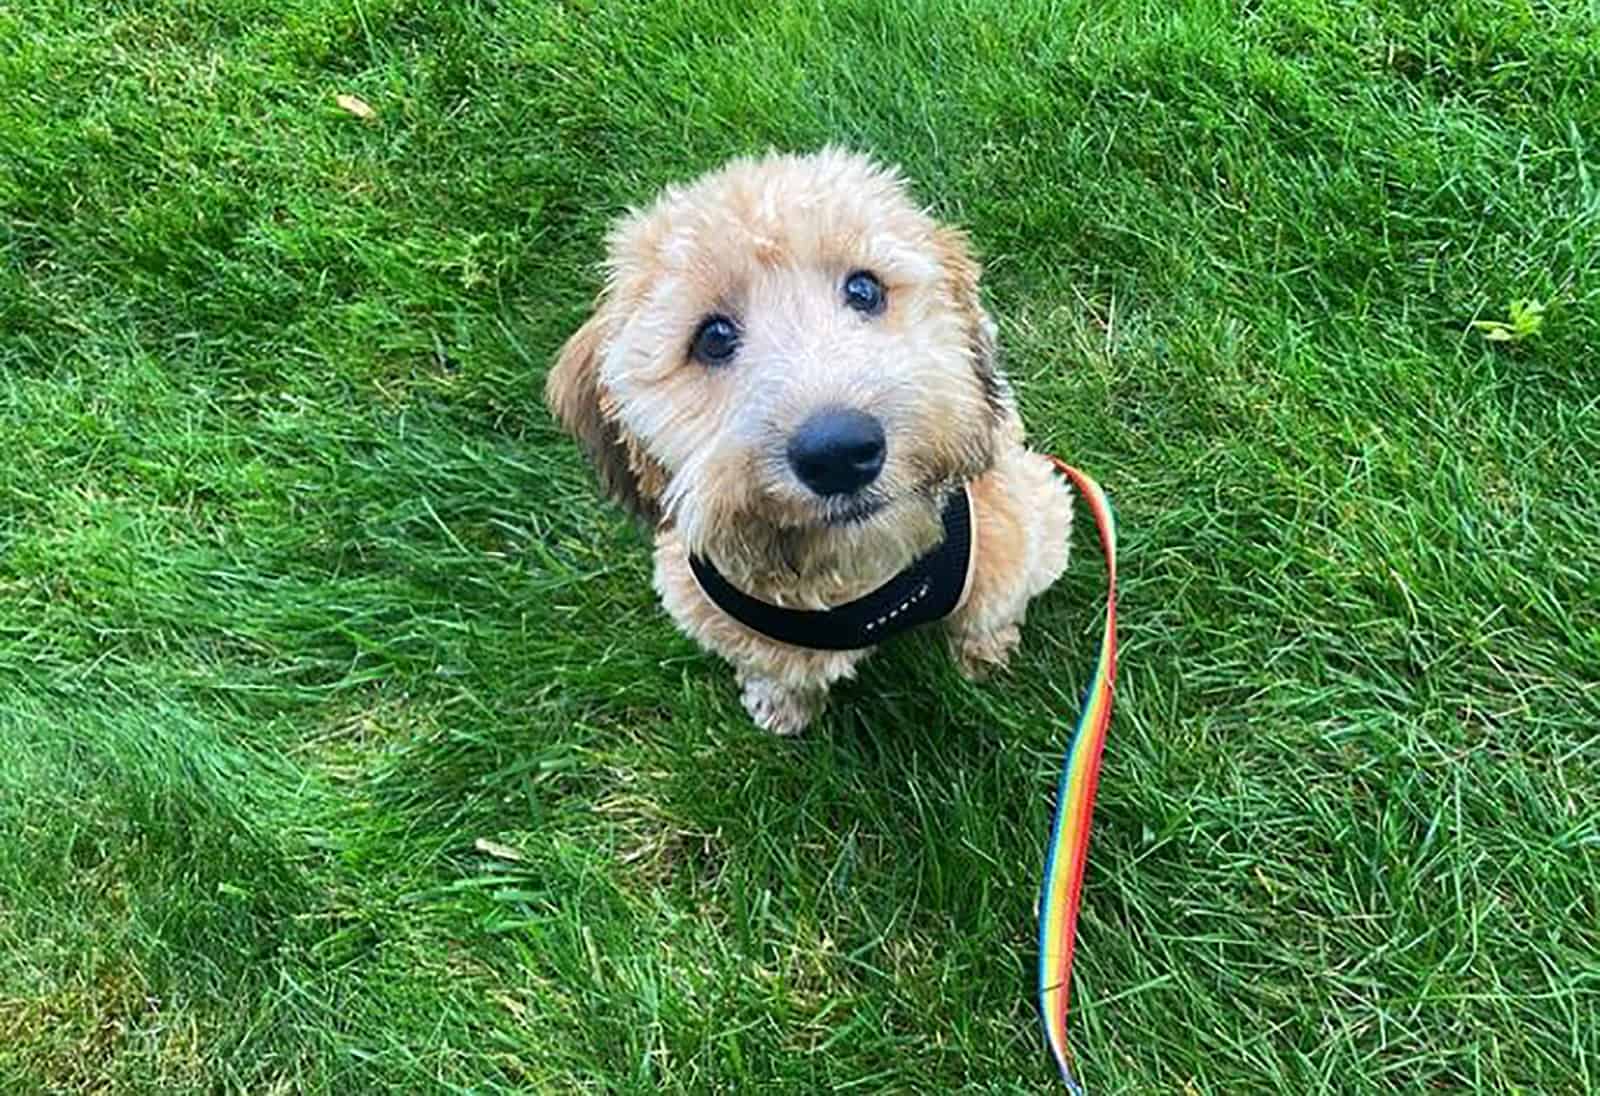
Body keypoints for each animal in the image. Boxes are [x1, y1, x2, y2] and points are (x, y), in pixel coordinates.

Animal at [550, 149, 1075, 736]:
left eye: (864, 289)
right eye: (713, 337)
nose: (839, 454)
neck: (854, 579)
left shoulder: (1018, 529)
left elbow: (987, 612)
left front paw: (985, 655)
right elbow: (776, 668)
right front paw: (781, 704)